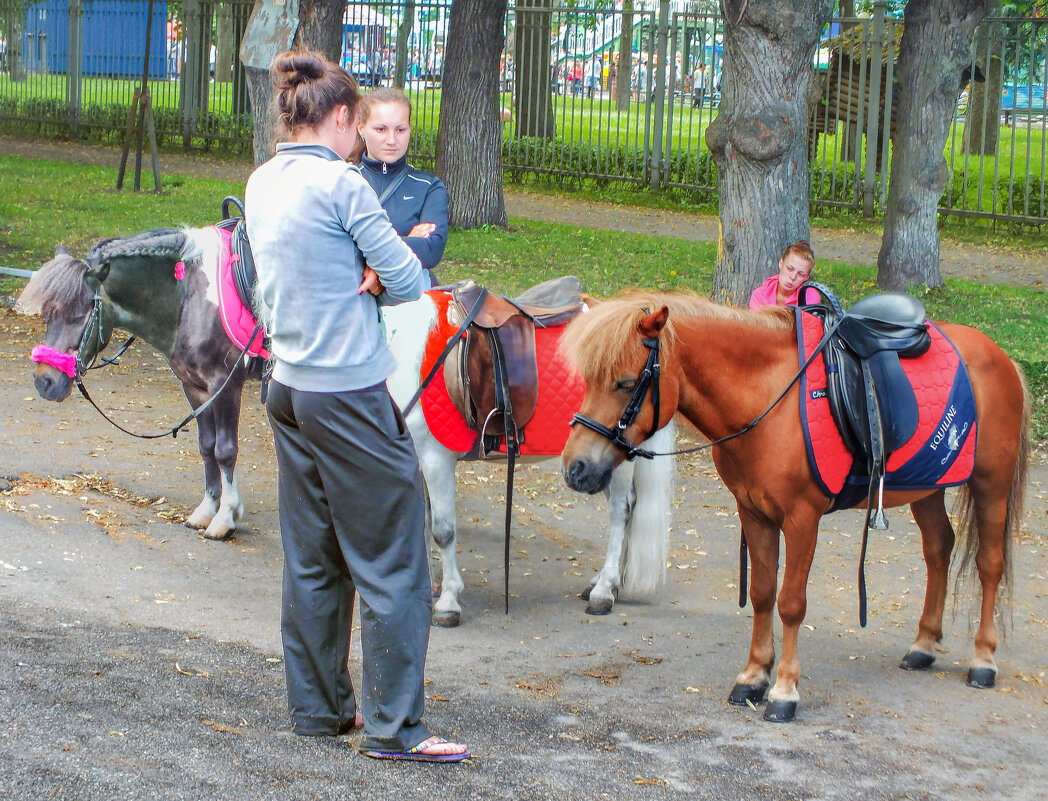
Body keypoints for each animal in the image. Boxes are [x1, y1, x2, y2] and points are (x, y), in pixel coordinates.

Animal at [561, 291, 1027, 721]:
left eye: (625, 383)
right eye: (588, 380)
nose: (575, 467)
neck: (770, 400)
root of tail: (1000, 356)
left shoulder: (802, 519)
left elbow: (790, 603)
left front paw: (784, 689)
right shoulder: (753, 513)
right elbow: (763, 593)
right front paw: (753, 677)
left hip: (990, 484)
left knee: (989, 563)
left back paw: (984, 660)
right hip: (927, 486)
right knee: (938, 550)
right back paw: (924, 645)